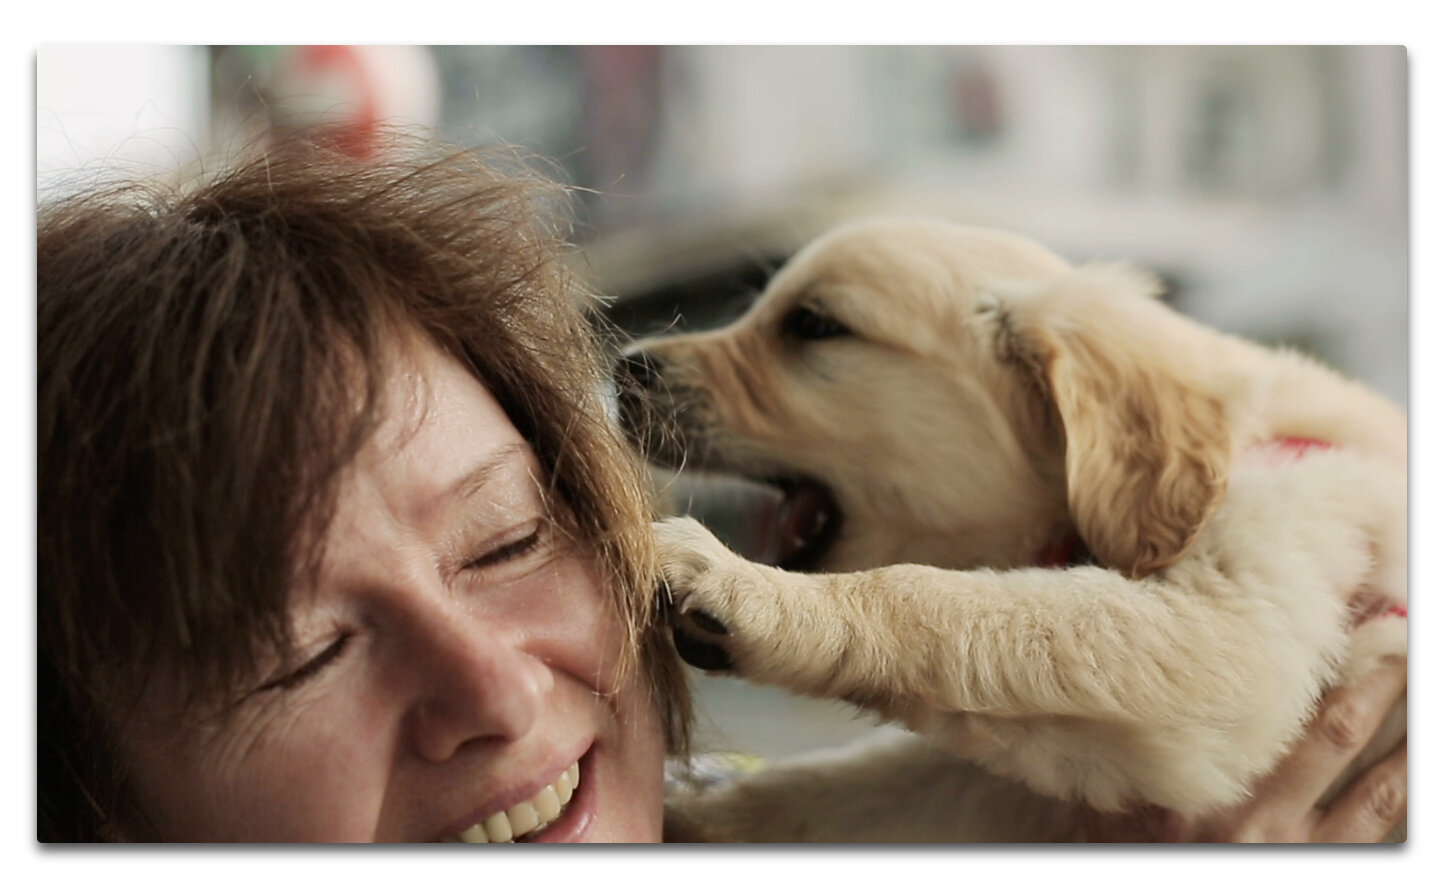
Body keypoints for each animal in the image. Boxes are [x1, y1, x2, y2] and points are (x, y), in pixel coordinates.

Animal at [615, 219, 1404, 843]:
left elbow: (942, 600)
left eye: (812, 325)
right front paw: (689, 815)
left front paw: (744, 588)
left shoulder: (1235, 631)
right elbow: (822, 791)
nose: (624, 370)